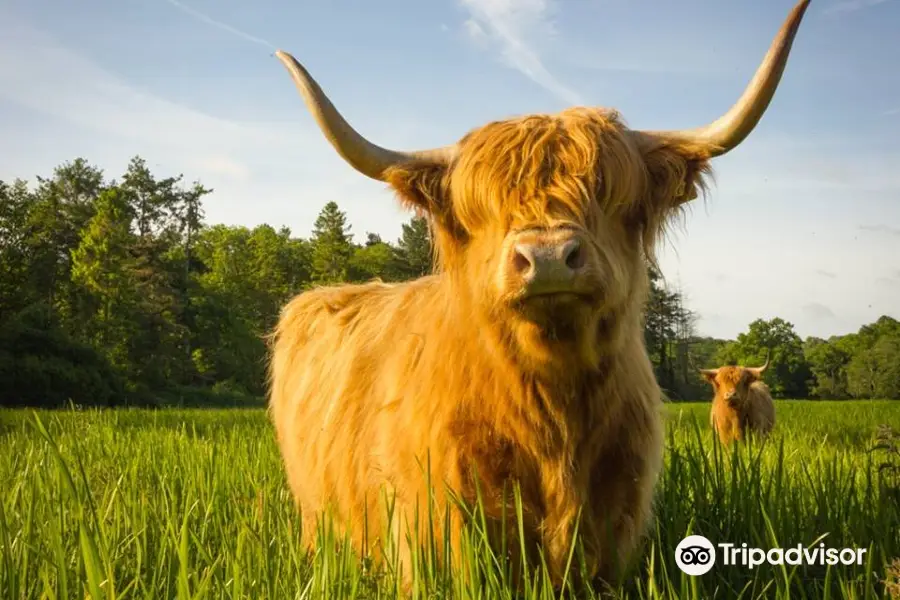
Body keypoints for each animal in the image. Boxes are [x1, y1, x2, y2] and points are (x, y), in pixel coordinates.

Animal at [264, 0, 812, 592]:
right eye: (482, 206)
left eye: (608, 192)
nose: (547, 257)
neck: (555, 411)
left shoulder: (615, 524)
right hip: (315, 515)